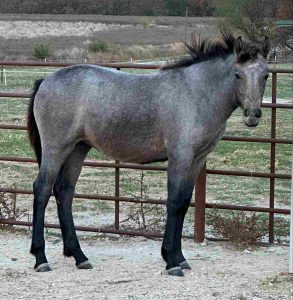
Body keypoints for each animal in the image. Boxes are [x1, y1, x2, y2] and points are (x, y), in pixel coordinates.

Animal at [26, 32, 270, 276]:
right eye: (237, 74)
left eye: (266, 75)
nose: (252, 115)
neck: (196, 94)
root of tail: (45, 81)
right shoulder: (180, 156)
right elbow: (175, 201)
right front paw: (171, 261)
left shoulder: (197, 159)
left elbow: (184, 203)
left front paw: (179, 258)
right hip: (56, 149)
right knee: (42, 190)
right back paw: (41, 258)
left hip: (77, 149)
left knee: (64, 192)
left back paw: (79, 256)